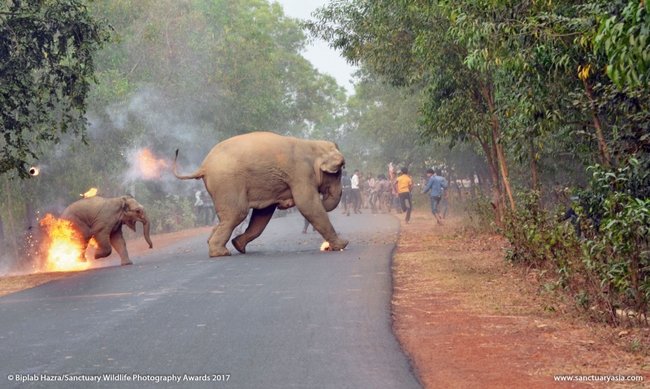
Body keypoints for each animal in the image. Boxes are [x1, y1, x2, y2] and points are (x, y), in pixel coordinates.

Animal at [170, 132, 346, 256]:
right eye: (338, 173)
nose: (287, 204)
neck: (313, 145)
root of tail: (204, 166)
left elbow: (263, 214)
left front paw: (238, 245)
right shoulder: (301, 173)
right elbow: (308, 204)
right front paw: (343, 245)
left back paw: (222, 245)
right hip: (227, 182)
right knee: (237, 214)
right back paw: (221, 253)